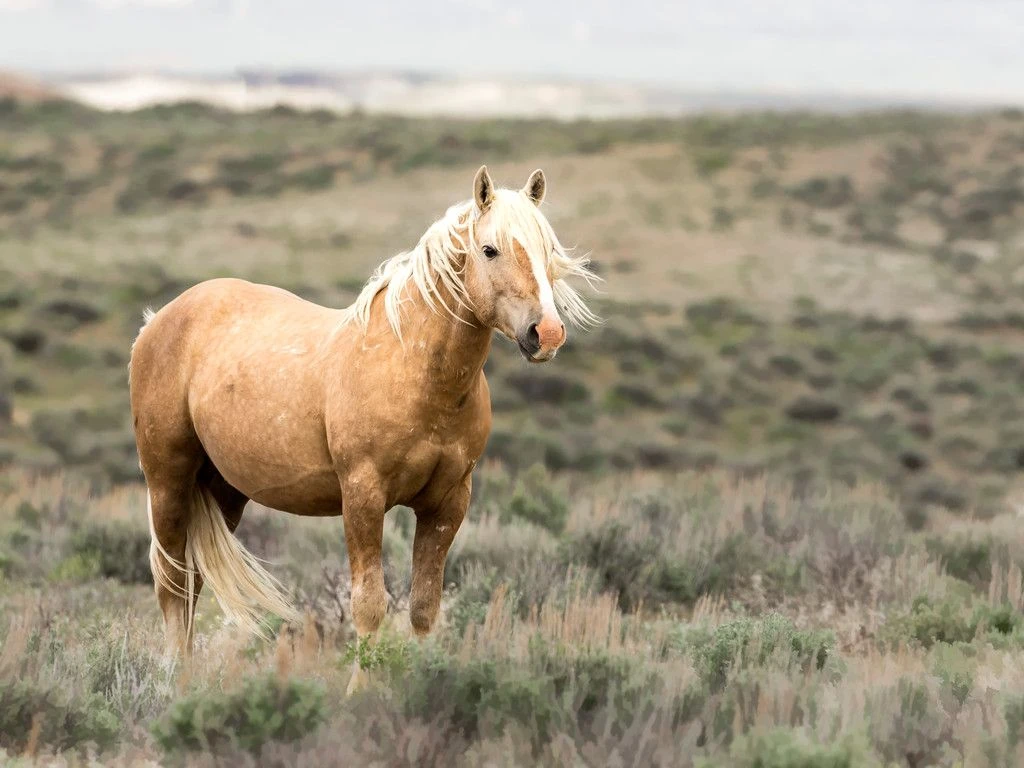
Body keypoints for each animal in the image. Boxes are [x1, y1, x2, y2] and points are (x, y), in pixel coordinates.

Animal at [128, 165, 597, 691]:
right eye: (489, 249)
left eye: (547, 250)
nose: (546, 333)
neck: (414, 370)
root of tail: (157, 322)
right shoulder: (363, 496)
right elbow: (370, 604)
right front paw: (360, 692)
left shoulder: (447, 504)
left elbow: (424, 607)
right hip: (168, 481)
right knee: (171, 580)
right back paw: (176, 681)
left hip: (223, 489)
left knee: (192, 581)